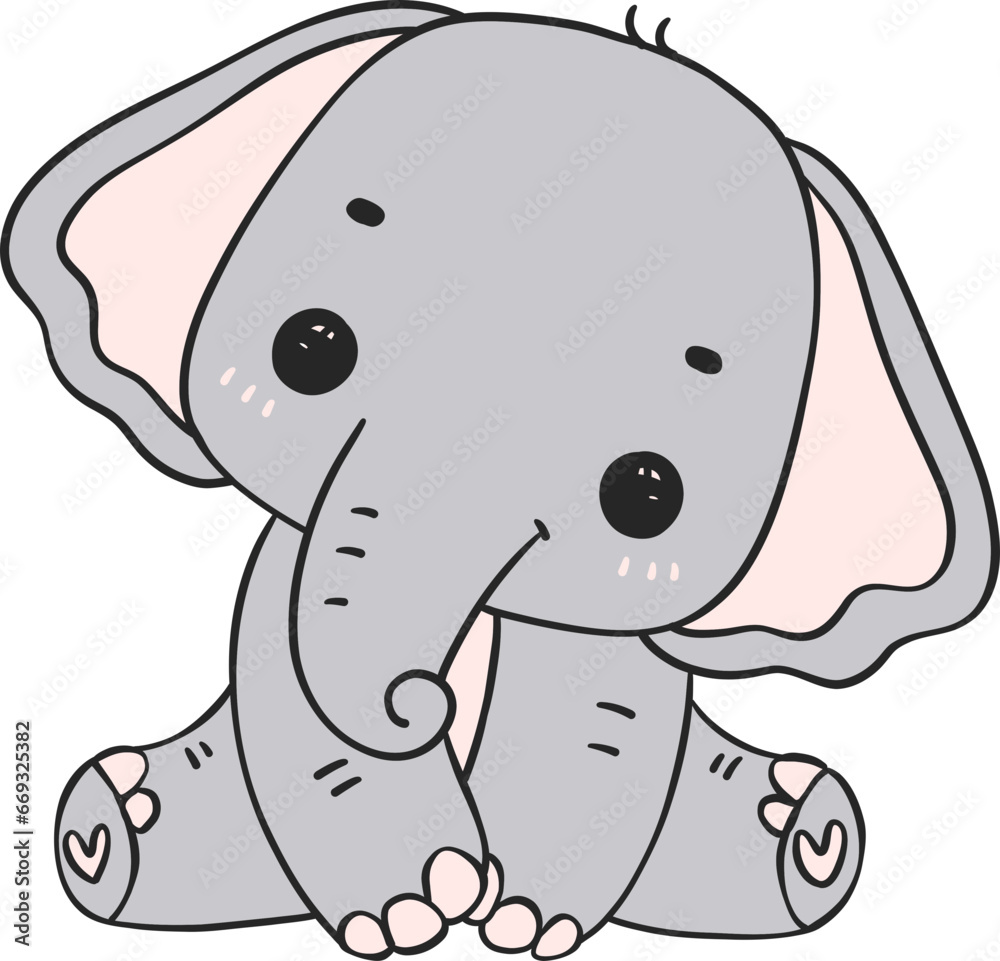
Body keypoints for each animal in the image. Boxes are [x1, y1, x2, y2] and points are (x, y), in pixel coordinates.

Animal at [4, 1, 996, 957]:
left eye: (646, 495)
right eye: (308, 350)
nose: (419, 699)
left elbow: (605, 726)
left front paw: (520, 918)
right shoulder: (284, 575)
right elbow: (293, 699)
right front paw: (416, 909)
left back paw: (800, 824)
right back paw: (118, 814)